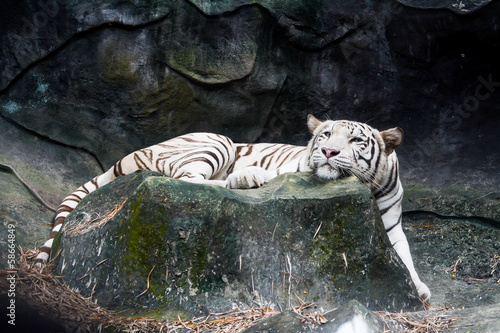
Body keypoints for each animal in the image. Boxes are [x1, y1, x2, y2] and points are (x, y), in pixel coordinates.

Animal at [37, 114, 432, 300]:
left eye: (355, 140)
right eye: (324, 135)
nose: (328, 151)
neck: (366, 187)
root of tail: (128, 155)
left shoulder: (390, 226)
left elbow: (404, 257)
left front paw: (419, 288)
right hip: (216, 141)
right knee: (190, 180)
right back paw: (247, 177)